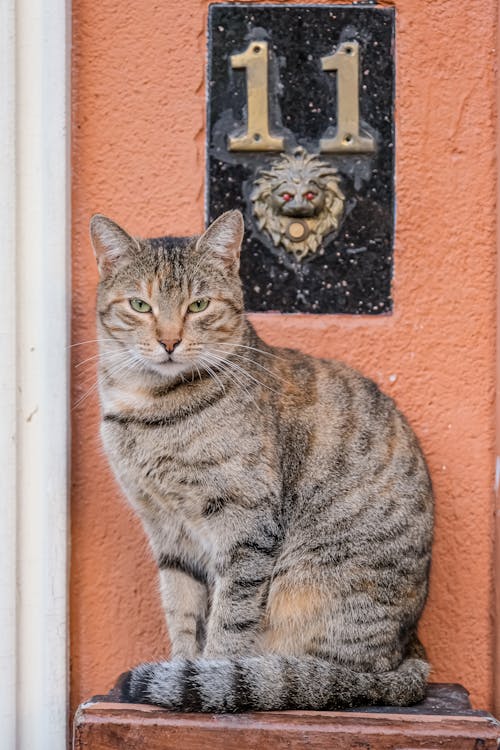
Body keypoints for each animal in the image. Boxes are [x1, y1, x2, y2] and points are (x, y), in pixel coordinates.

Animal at [91, 209, 434, 712]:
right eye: (139, 305)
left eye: (199, 306)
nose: (169, 341)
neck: (150, 407)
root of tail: (410, 654)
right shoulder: (167, 528)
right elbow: (182, 610)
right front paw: (182, 666)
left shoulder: (245, 523)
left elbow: (229, 617)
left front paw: (209, 676)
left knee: (321, 673)